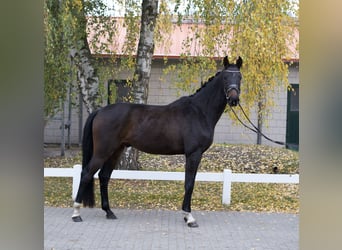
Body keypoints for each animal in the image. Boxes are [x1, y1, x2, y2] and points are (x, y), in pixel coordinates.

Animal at [72, 55, 243, 228]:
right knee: (86, 174)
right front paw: (189, 217)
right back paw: (76, 214)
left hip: (116, 150)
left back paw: (109, 212)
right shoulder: (194, 154)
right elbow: (189, 184)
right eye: (225, 77)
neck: (199, 111)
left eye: (240, 77)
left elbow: (189, 182)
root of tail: (100, 111)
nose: (234, 99)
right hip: (103, 151)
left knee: (104, 176)